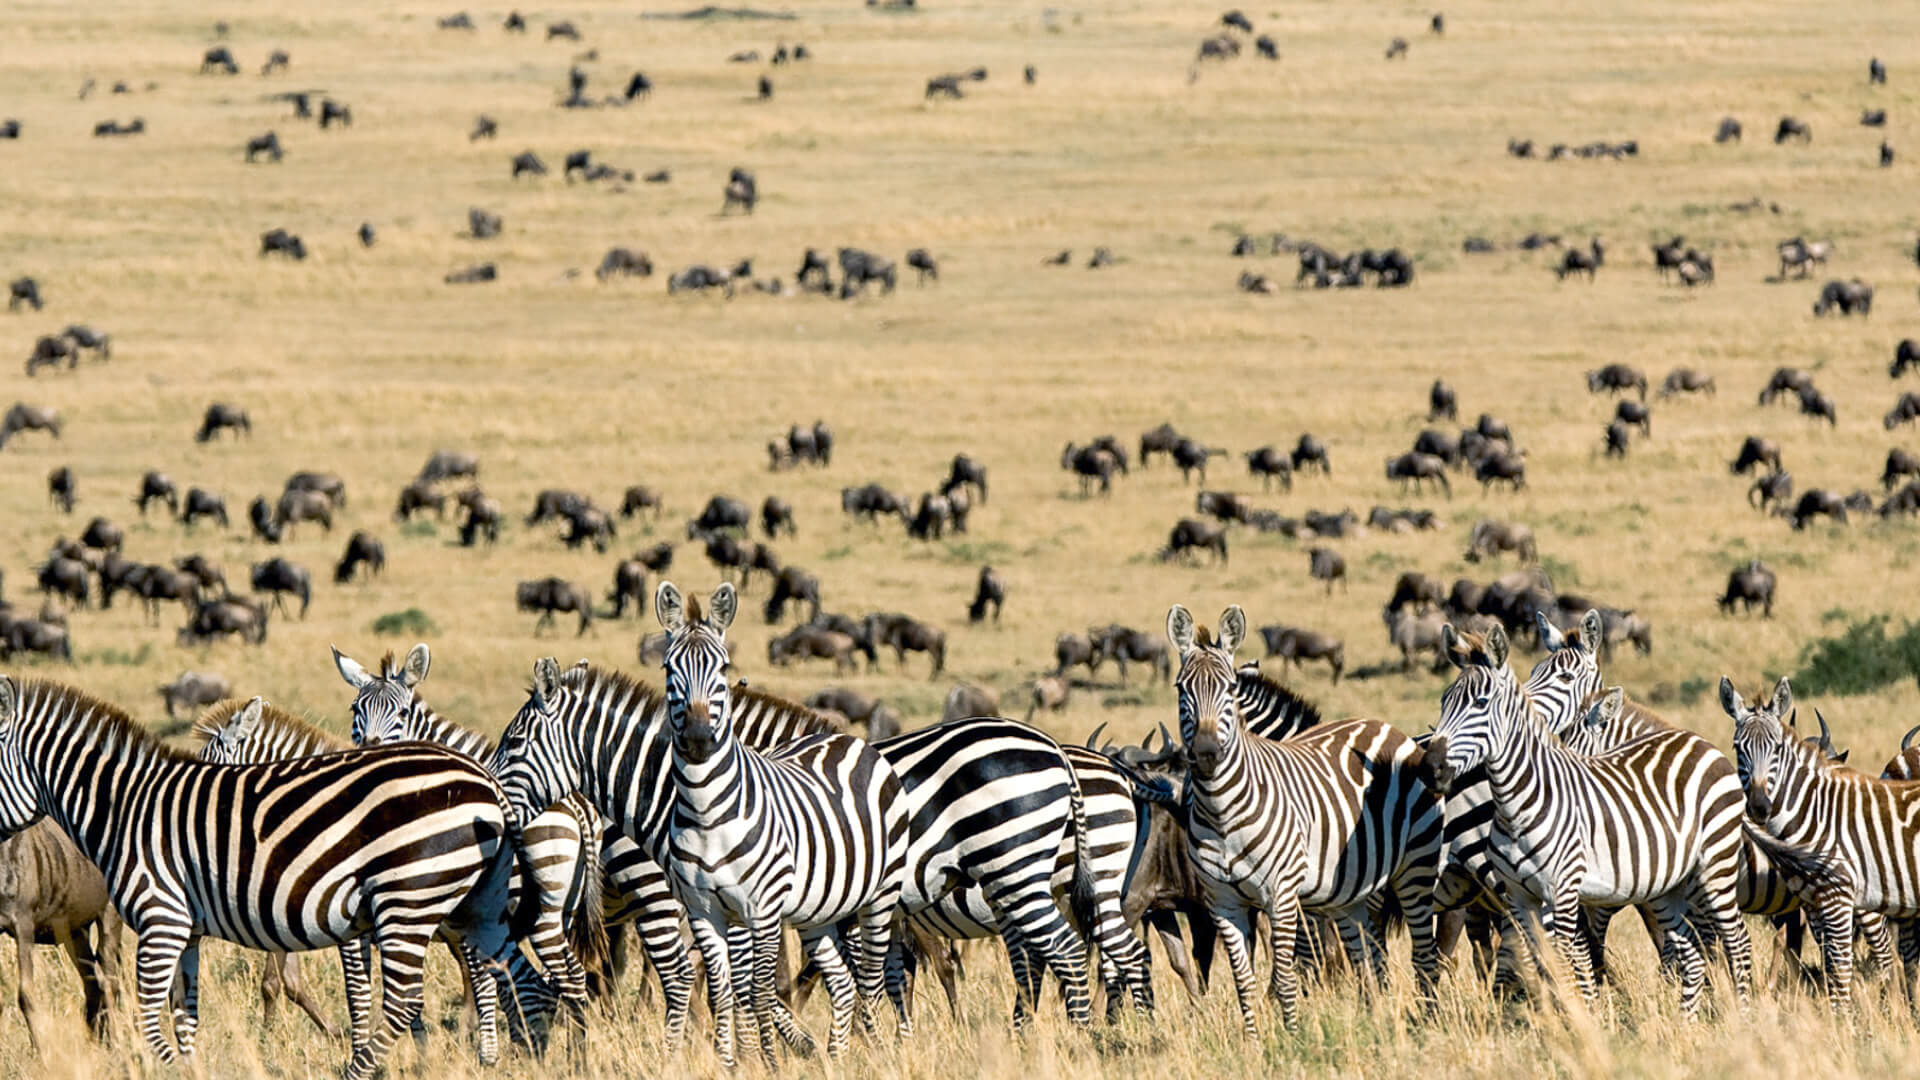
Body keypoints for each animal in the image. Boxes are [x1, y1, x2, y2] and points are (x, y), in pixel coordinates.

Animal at [0, 678, 528, 1079]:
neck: (125, 809)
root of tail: (485, 779)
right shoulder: (187, 929)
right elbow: (185, 1013)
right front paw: (190, 1068)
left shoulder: (161, 917)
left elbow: (151, 1014)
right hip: (466, 906)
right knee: (487, 973)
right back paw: (488, 1055)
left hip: (408, 898)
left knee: (406, 1000)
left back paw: (360, 1071)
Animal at [332, 644, 601, 1039]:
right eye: (355, 710)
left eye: (401, 712)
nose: (368, 748)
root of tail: (576, 807)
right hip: (563, 911)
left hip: (543, 916)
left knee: (565, 978)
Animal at [1167, 603, 1442, 1036]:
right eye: (1182, 689)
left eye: (1228, 689)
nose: (1207, 754)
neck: (1222, 811)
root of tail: (1383, 725)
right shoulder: (1224, 901)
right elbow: (1244, 978)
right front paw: (1253, 1039)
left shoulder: (1283, 894)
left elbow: (1289, 968)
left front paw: (1292, 1035)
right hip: (1354, 892)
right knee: (1368, 958)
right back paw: (1374, 1021)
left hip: (1416, 868)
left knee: (1424, 953)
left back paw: (1427, 1022)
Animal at [1425, 623, 1753, 1017]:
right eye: (1444, 702)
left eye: (1480, 703)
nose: (1430, 767)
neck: (1516, 802)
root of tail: (1700, 742)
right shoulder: (1519, 897)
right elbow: (1538, 961)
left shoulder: (1563, 893)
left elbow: (1566, 960)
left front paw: (1578, 1021)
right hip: (1667, 884)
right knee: (1690, 952)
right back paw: (1686, 1023)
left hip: (1714, 868)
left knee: (1737, 941)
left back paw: (1745, 1017)